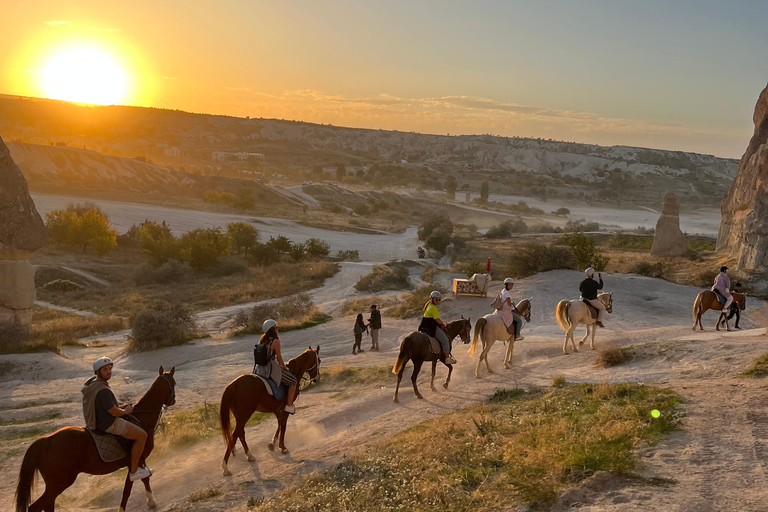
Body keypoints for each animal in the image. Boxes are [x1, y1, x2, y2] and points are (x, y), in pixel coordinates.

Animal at [15, 366, 176, 512]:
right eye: (174, 383)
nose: (173, 401)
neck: (141, 419)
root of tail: (46, 441)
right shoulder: (135, 461)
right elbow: (130, 488)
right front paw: (141, 504)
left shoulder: (137, 462)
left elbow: (142, 481)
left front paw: (151, 502)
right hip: (60, 482)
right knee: (38, 505)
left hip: (55, 484)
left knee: (45, 504)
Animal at [219, 346, 320, 474]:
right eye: (319, 360)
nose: (317, 378)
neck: (294, 371)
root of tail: (233, 385)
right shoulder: (285, 409)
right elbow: (283, 426)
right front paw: (282, 447)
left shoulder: (277, 409)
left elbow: (279, 424)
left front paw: (273, 443)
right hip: (245, 414)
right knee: (235, 434)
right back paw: (225, 466)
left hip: (240, 416)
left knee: (240, 433)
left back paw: (249, 455)